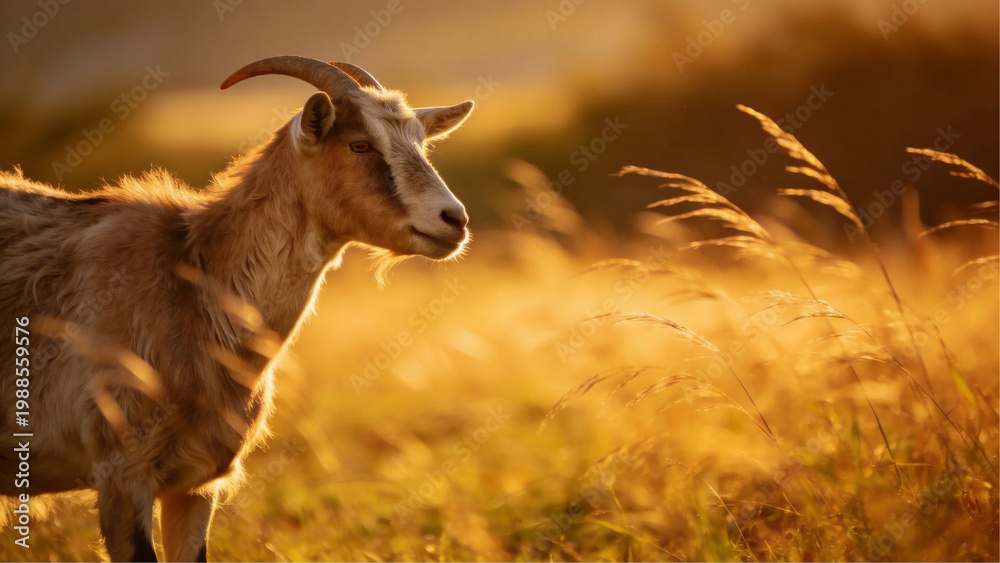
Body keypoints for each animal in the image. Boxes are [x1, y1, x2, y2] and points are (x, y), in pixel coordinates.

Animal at [0, 56, 474, 561]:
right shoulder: (122, 475)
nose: (454, 220)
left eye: (421, 144)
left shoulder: (194, 485)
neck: (191, 285)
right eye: (359, 143)